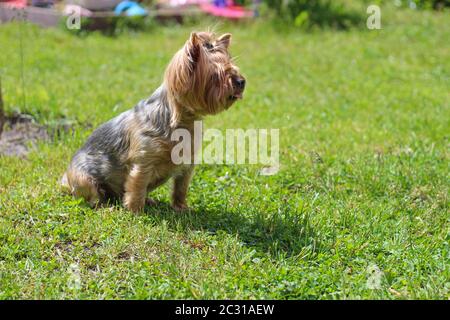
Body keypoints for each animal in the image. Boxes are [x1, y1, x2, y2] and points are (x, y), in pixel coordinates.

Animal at [61, 31, 244, 212]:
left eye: (234, 68)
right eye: (216, 75)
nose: (242, 81)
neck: (181, 120)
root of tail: (65, 180)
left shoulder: (188, 163)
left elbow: (181, 187)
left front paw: (182, 208)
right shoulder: (143, 162)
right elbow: (137, 186)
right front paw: (135, 211)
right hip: (84, 179)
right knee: (95, 198)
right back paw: (107, 207)